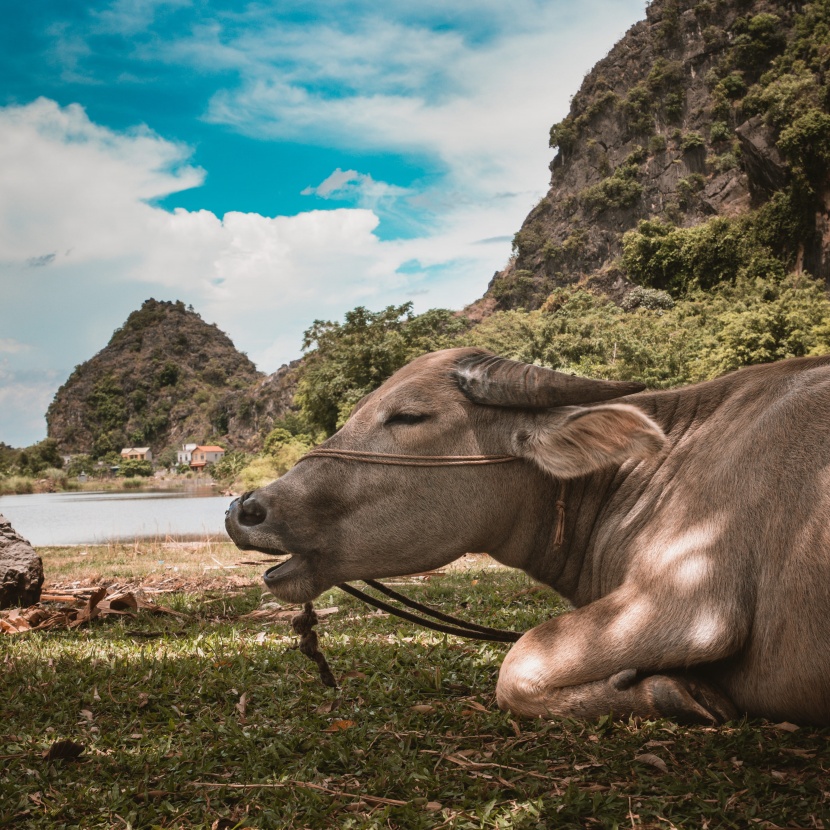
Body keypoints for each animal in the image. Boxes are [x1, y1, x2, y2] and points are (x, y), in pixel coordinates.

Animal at [226, 348, 830, 724]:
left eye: (408, 416)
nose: (243, 509)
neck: (659, 464)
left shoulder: (693, 600)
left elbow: (517, 665)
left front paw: (672, 693)